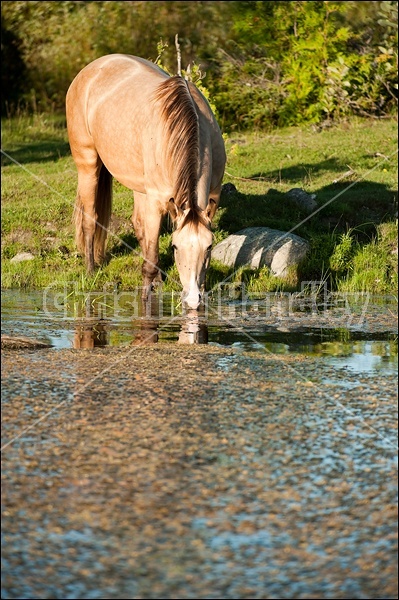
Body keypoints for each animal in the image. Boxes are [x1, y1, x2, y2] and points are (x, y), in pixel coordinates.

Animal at [67, 52, 227, 310]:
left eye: (209, 246)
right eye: (175, 246)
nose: (192, 299)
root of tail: (91, 68)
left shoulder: (213, 195)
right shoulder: (155, 202)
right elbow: (149, 262)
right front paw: (146, 303)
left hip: (138, 186)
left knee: (139, 227)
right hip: (88, 165)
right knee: (90, 220)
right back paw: (91, 271)